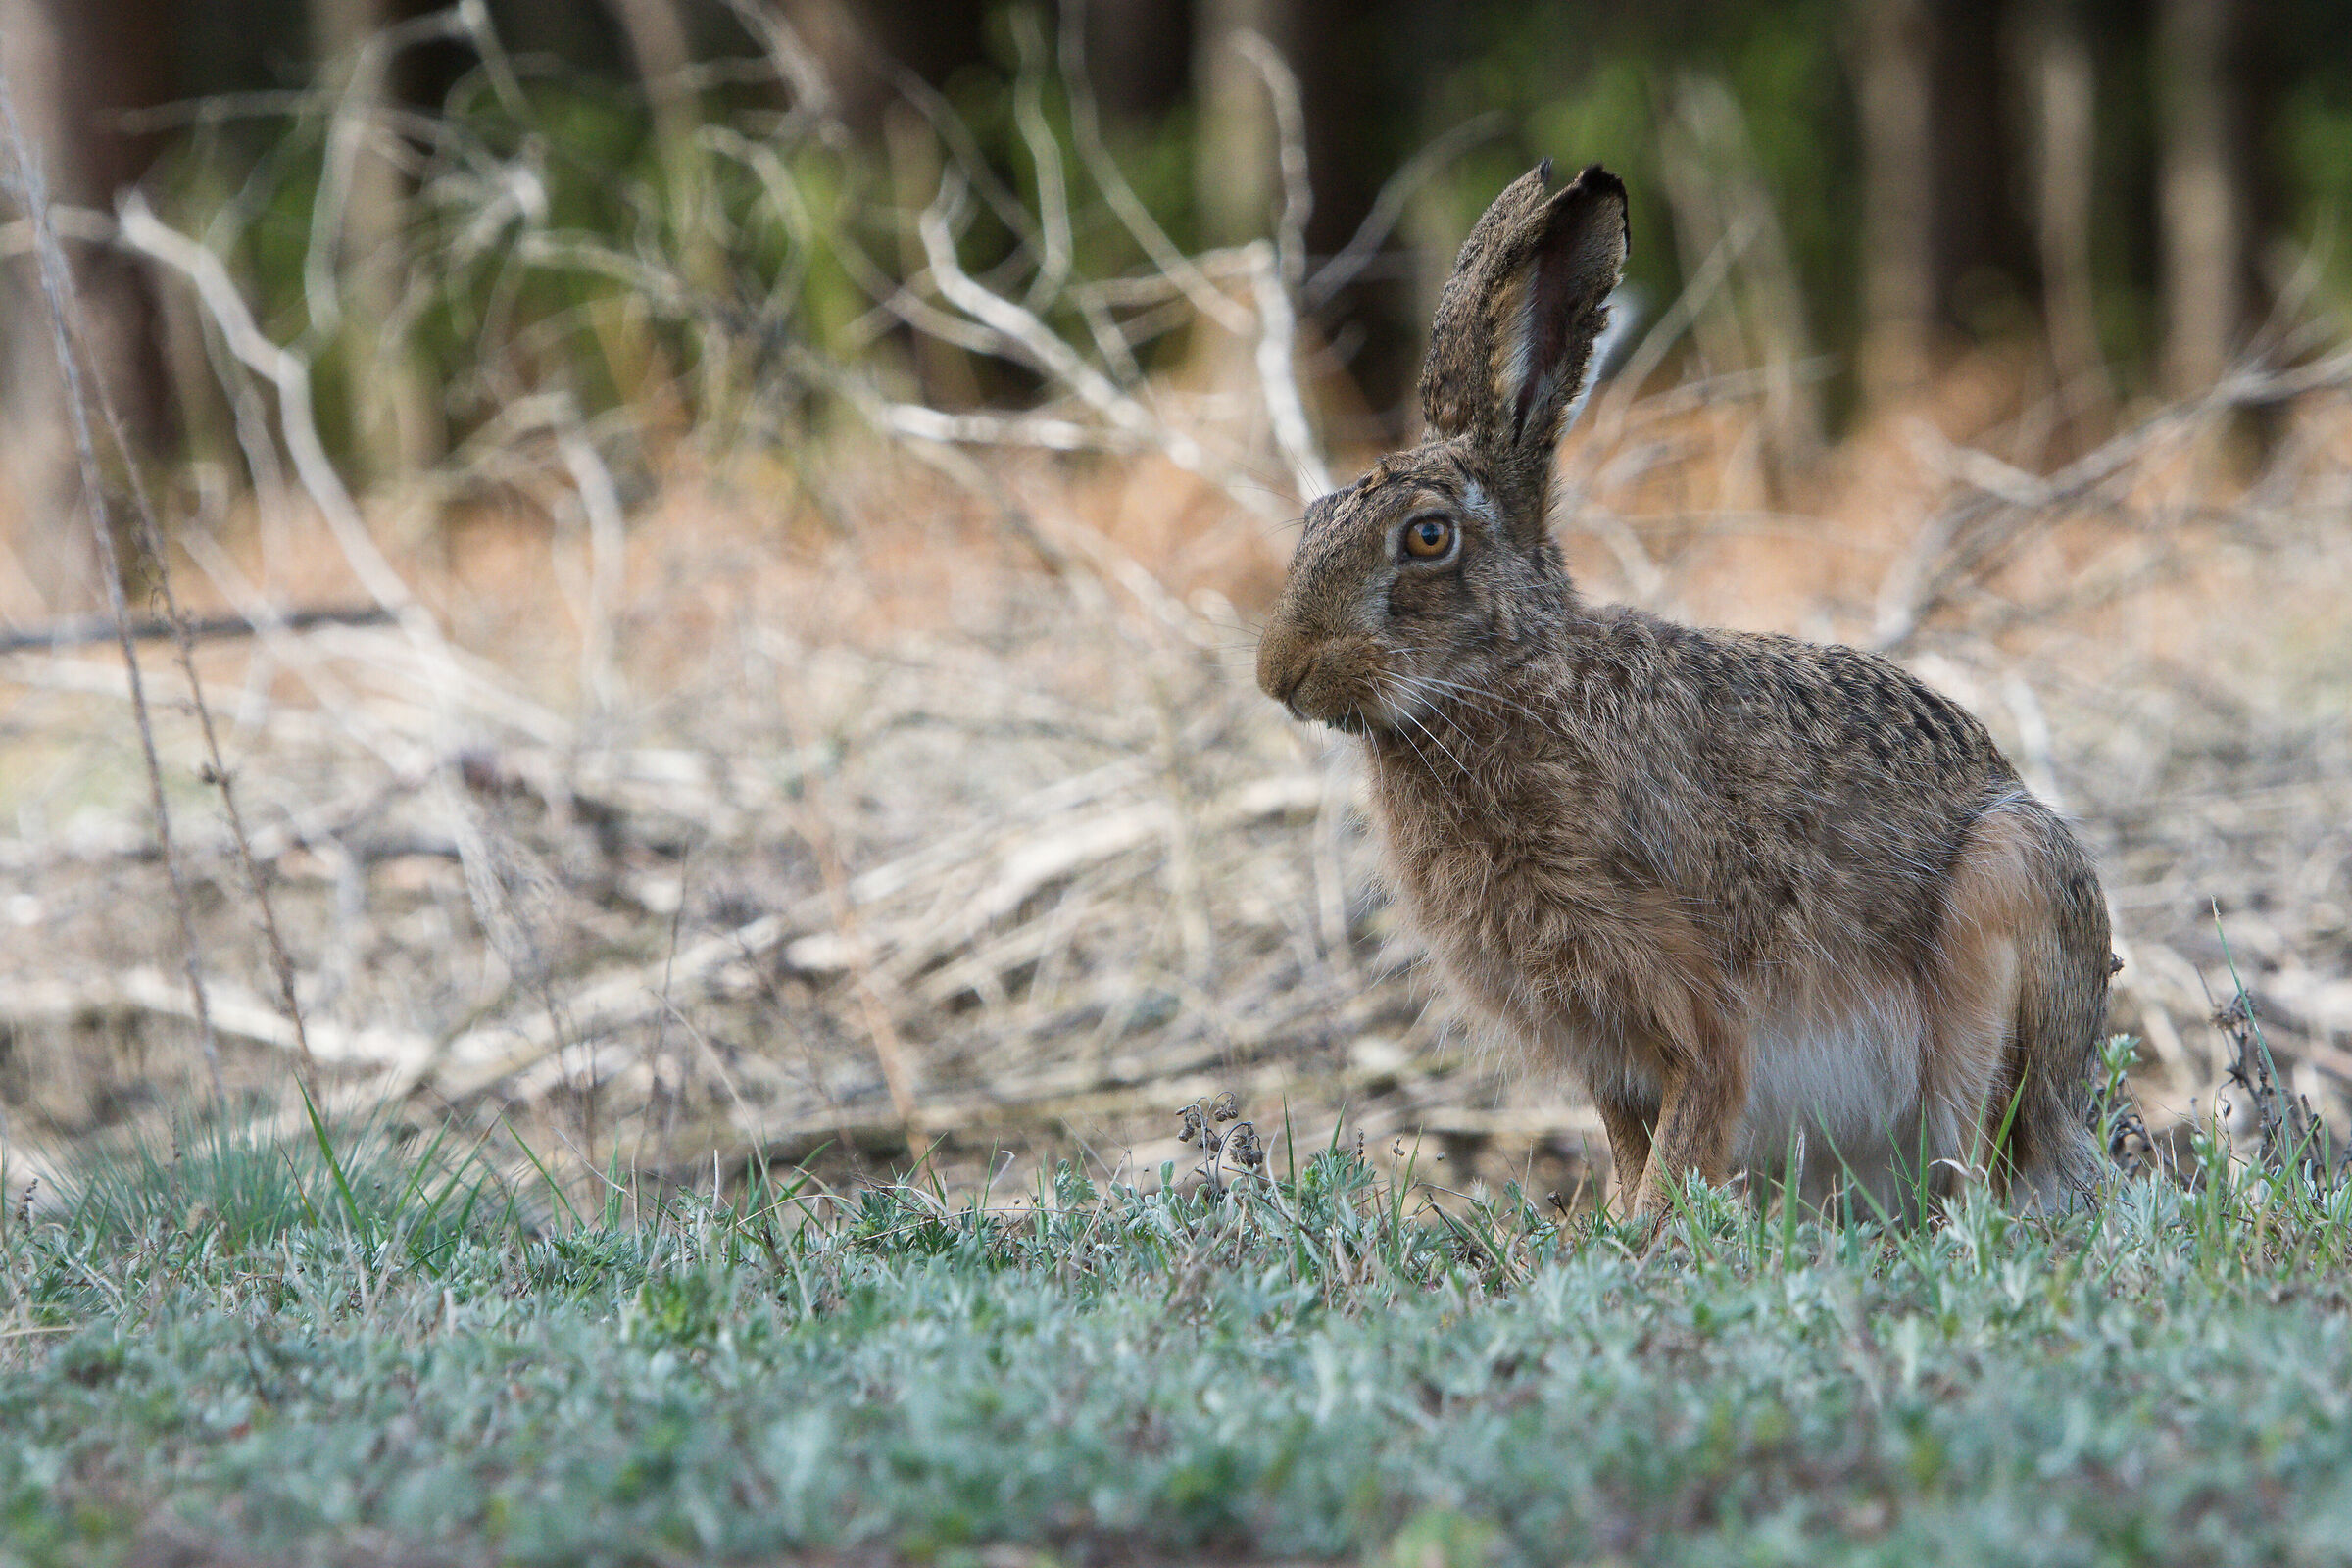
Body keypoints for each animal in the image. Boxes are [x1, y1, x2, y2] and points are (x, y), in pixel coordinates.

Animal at [1256, 161, 2112, 1220]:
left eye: (1426, 537)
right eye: (1315, 517)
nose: (1281, 672)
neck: (1509, 680)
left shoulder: (1698, 1006)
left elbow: (1692, 1128)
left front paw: (1646, 1235)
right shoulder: (1605, 1051)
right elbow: (1632, 1150)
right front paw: (1613, 1226)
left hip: (2002, 913)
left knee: (1981, 1165)